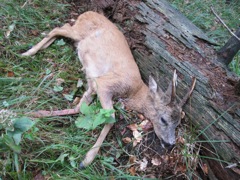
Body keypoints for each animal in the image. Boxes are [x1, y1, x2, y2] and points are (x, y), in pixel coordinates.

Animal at [21, 10, 196, 169]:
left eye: (178, 123)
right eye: (163, 119)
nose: (170, 144)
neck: (134, 92)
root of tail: (88, 12)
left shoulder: (93, 85)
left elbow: (78, 108)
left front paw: (34, 114)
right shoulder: (104, 84)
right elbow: (111, 118)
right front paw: (86, 160)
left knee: (61, 28)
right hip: (79, 31)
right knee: (59, 28)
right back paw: (27, 52)